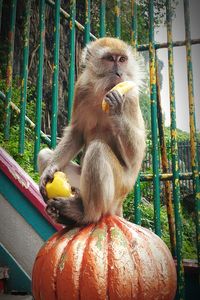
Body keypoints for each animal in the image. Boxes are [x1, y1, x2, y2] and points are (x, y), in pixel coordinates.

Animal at [38, 37, 145, 225]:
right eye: (110, 59)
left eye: (122, 60)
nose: (119, 74)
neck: (102, 91)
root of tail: (119, 204)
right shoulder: (81, 88)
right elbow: (77, 132)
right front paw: (49, 170)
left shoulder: (131, 98)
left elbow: (135, 157)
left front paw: (116, 109)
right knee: (44, 154)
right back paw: (64, 216)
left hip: (116, 191)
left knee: (97, 150)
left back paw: (84, 214)